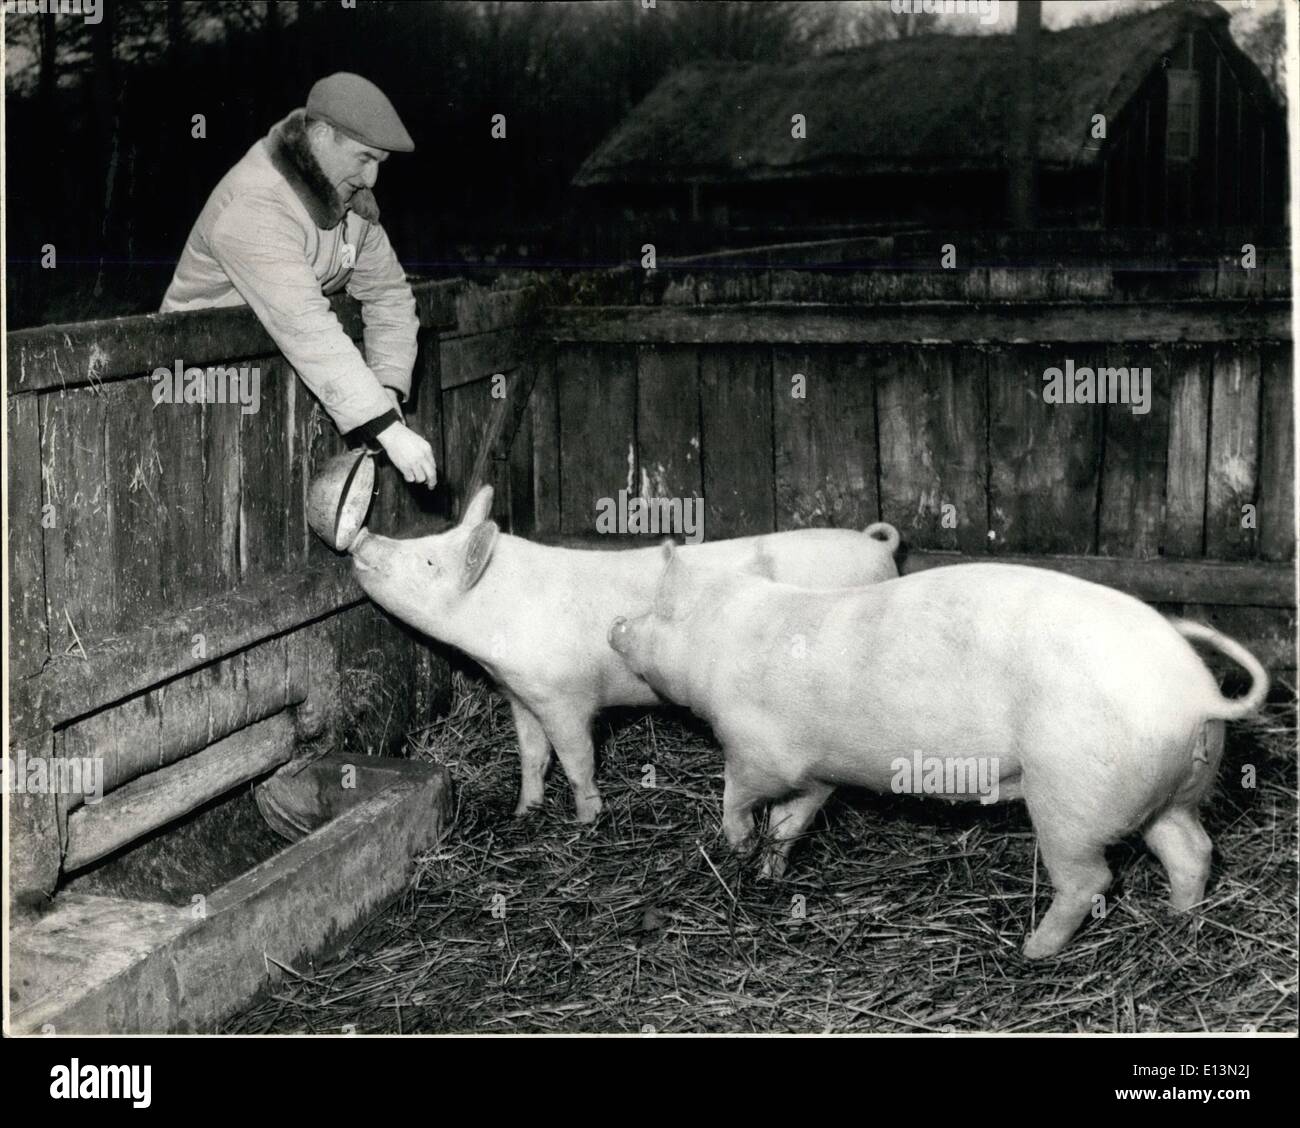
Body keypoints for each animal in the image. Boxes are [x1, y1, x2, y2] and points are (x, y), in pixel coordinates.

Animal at [345, 483, 899, 821]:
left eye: (428, 560)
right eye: (431, 538)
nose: (364, 537)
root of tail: (880, 548)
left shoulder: (563, 697)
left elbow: (576, 759)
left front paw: (586, 821)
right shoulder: (519, 694)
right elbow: (530, 756)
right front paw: (524, 812)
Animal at [608, 545, 1268, 961]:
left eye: (654, 609)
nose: (615, 625)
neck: (718, 646)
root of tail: (1195, 693)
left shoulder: (760, 749)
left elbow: (739, 793)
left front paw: (736, 845)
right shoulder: (817, 774)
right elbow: (793, 819)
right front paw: (770, 871)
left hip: (1071, 800)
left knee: (1091, 879)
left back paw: (1032, 951)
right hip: (1169, 794)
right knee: (1192, 850)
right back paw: (1179, 922)